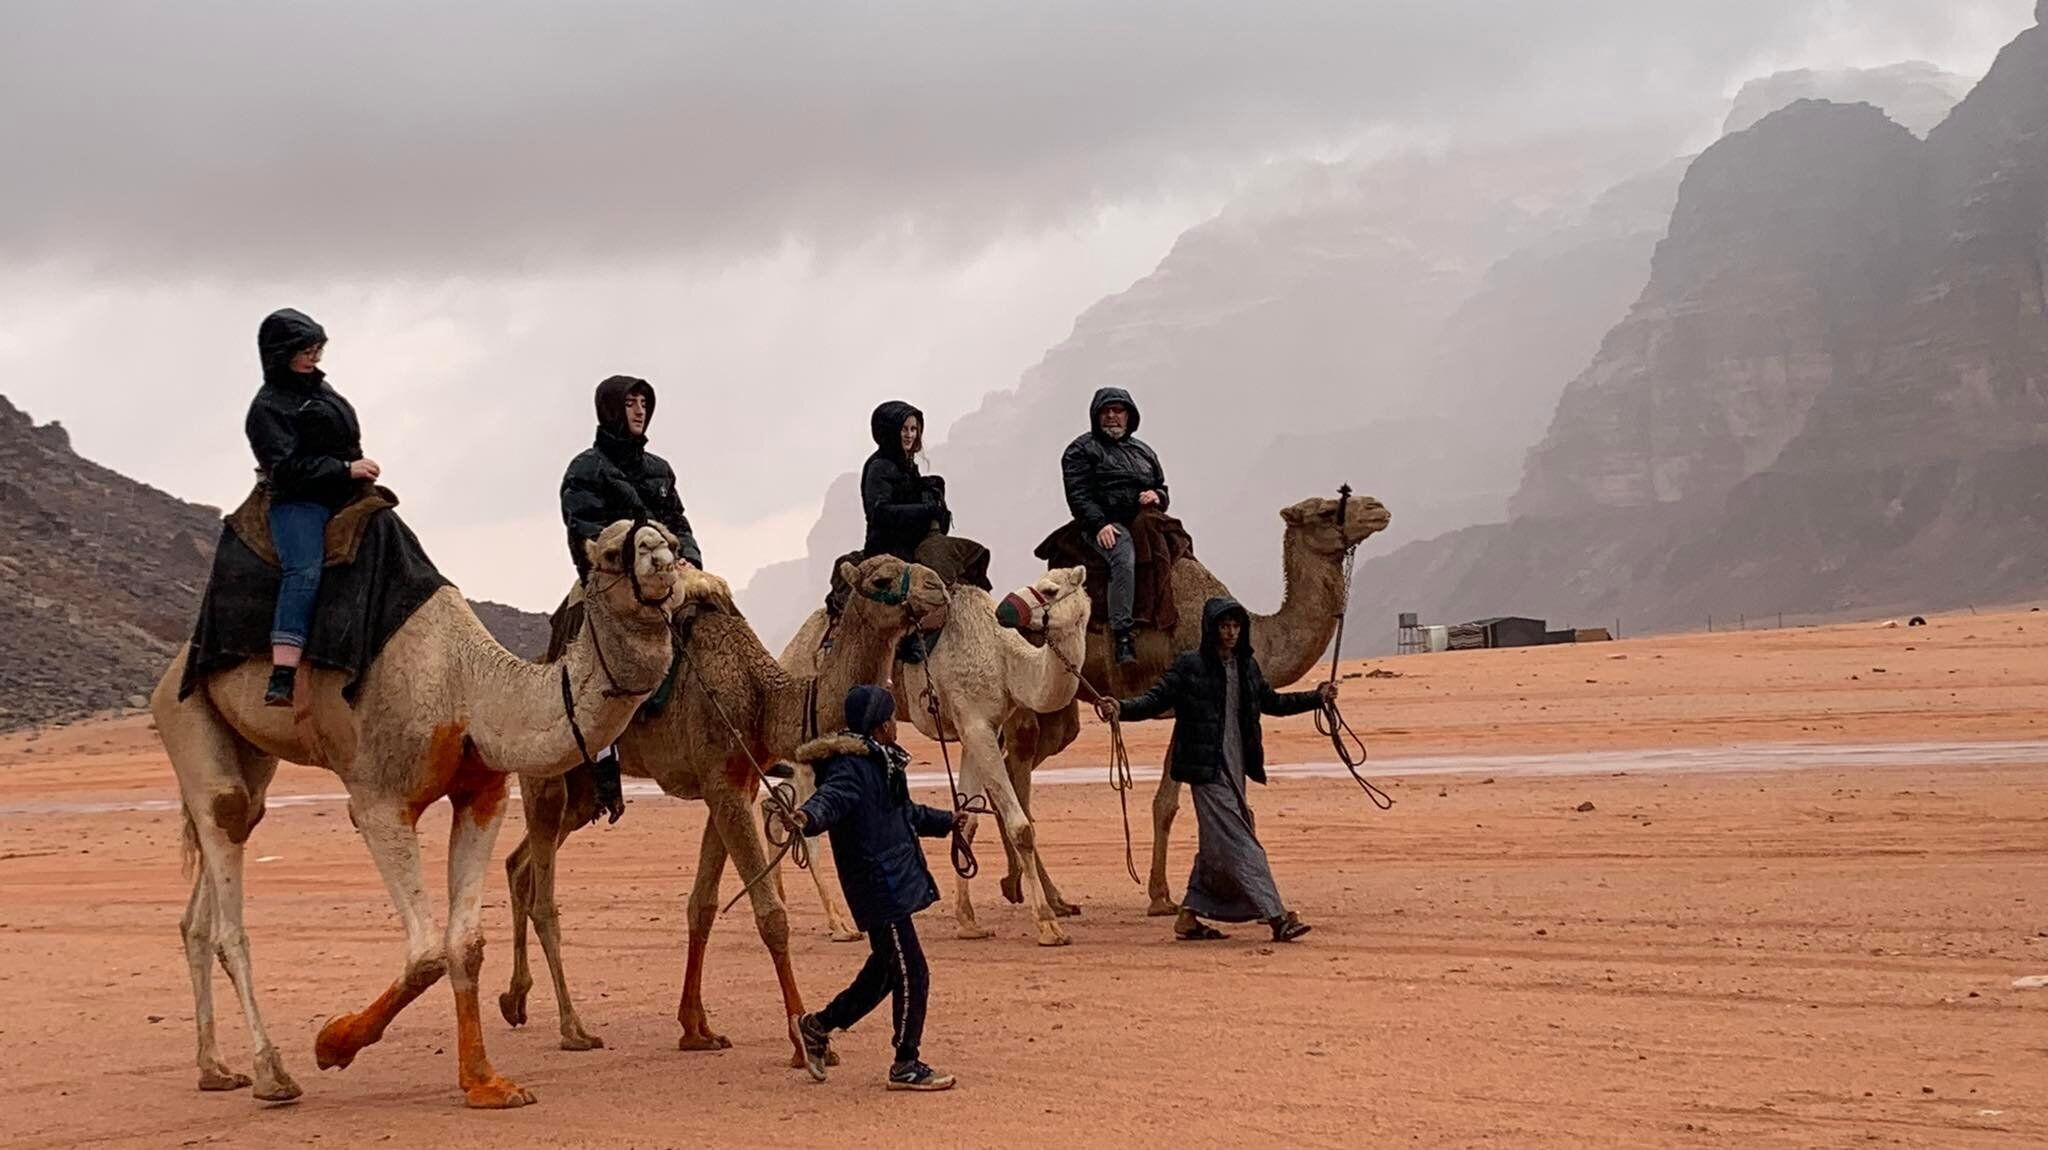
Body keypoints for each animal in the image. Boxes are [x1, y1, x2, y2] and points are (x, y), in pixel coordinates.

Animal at [153, 520, 692, 1109]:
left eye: (671, 540)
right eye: (616, 552)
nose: (663, 561)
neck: (470, 690)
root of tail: (169, 673)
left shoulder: (483, 794)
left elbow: (466, 944)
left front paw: (485, 1082)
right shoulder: (378, 802)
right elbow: (427, 952)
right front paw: (331, 1043)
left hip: (251, 750)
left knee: (222, 856)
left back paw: (214, 1068)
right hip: (184, 711)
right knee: (226, 853)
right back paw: (272, 1073)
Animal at [497, 553, 951, 1062]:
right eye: (882, 578)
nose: (938, 587)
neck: (764, 700)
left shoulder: (733, 785)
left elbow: (703, 905)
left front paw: (696, 1029)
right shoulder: (724, 785)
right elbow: (771, 916)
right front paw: (805, 1045)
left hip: (582, 793)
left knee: (518, 865)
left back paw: (514, 1001)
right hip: (545, 775)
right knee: (542, 896)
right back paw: (573, 1028)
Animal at [781, 566, 1093, 945]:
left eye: (1049, 590)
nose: (1006, 609)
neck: (1003, 660)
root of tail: (790, 650)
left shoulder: (977, 728)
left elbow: (968, 820)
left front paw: (968, 922)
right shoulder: (976, 724)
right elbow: (1021, 827)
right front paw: (1048, 925)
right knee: (805, 822)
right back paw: (839, 924)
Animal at [1005, 493, 1390, 916]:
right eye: (1325, 511)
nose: (1377, 508)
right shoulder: (1186, 698)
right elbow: (1167, 804)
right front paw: (1161, 897)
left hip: (1060, 707)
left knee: (1020, 761)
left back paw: (1023, 886)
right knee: (1018, 769)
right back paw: (1047, 897)